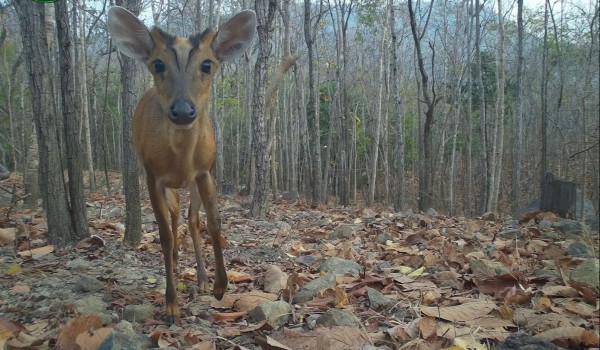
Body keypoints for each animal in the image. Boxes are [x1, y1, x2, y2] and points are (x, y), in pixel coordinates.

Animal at [107, 6, 255, 322]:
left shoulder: (206, 171)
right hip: (165, 184)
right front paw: (171, 304)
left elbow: (214, 223)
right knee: (174, 218)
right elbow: (163, 234)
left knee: (190, 219)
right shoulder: (152, 176)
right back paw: (176, 261)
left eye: (208, 65)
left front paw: (220, 286)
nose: (183, 111)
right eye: (158, 64)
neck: (181, 160)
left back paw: (201, 280)